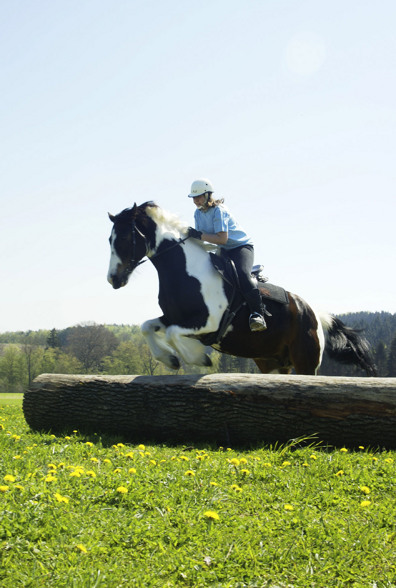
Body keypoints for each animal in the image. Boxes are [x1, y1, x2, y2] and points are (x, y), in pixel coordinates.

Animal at [106, 202, 378, 376]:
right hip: (270, 361)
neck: (185, 271)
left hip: (305, 361)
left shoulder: (208, 323)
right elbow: (146, 327)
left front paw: (198, 358)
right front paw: (171, 359)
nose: (113, 279)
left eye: (124, 238)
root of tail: (314, 312)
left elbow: (173, 333)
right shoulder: (174, 317)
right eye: (110, 239)